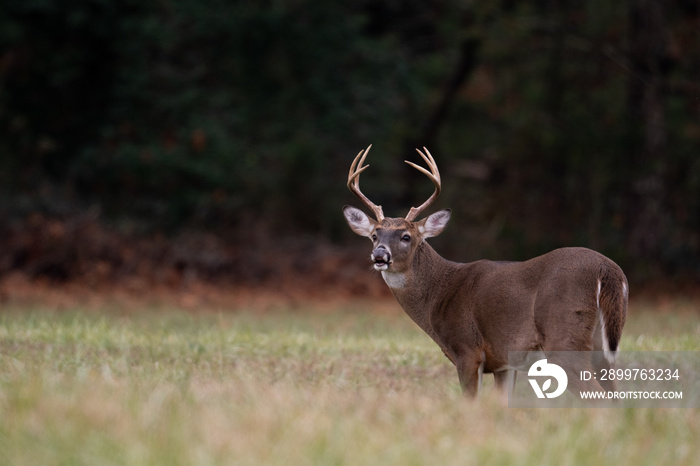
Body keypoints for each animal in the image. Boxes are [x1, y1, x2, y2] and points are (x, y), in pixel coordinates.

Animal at [344, 146, 628, 396]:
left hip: (565, 339)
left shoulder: (467, 350)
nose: (380, 256)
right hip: (603, 347)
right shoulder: (504, 363)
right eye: (374, 235)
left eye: (406, 236)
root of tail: (608, 270)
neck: (439, 294)